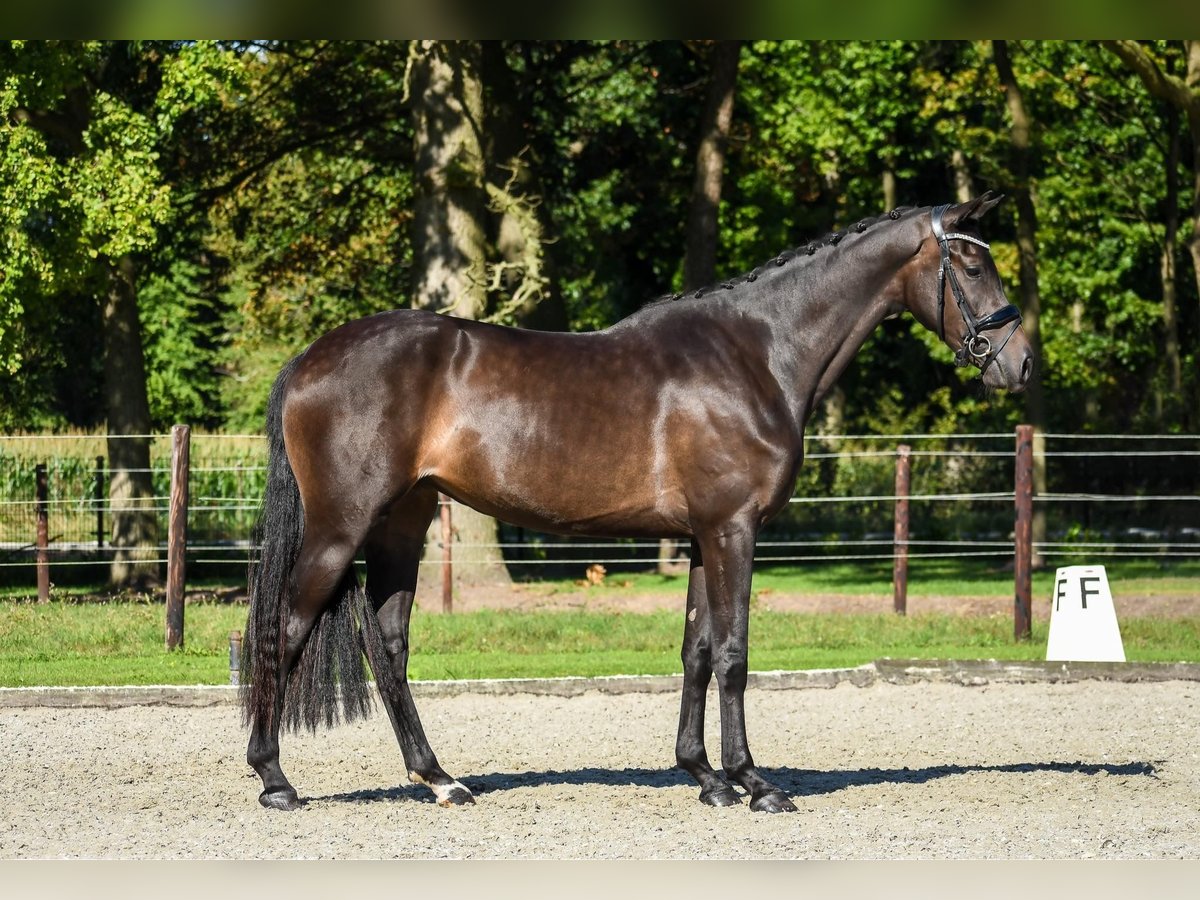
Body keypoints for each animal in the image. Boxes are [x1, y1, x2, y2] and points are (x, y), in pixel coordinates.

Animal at [241, 194, 1032, 816]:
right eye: (970, 266)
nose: (1020, 364)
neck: (755, 354)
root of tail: (310, 359)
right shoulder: (734, 530)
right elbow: (735, 653)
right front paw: (755, 782)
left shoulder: (702, 536)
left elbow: (696, 651)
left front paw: (705, 777)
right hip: (340, 529)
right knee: (281, 631)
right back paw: (275, 780)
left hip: (403, 525)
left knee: (389, 647)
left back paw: (440, 780)